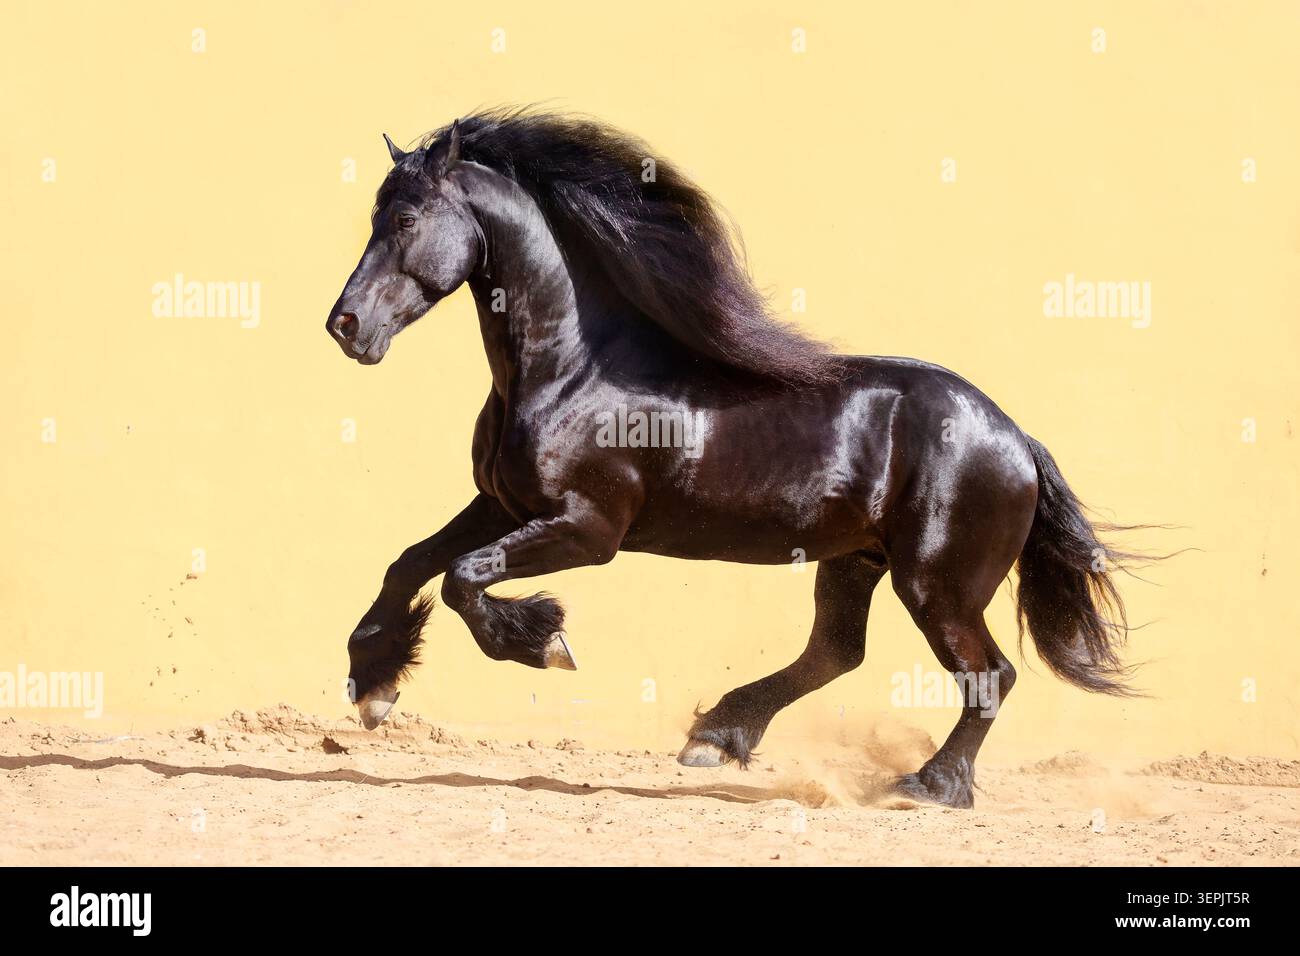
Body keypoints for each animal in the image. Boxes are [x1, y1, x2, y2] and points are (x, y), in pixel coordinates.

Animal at [326, 107, 1146, 808]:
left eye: (405, 220)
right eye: (372, 217)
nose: (346, 325)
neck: (571, 370)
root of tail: (1017, 438)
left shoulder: (589, 530)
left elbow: (464, 580)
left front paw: (545, 641)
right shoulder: (500, 504)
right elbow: (411, 563)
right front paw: (373, 684)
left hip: (936, 582)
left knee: (987, 673)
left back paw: (930, 785)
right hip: (856, 559)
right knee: (836, 653)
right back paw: (717, 738)